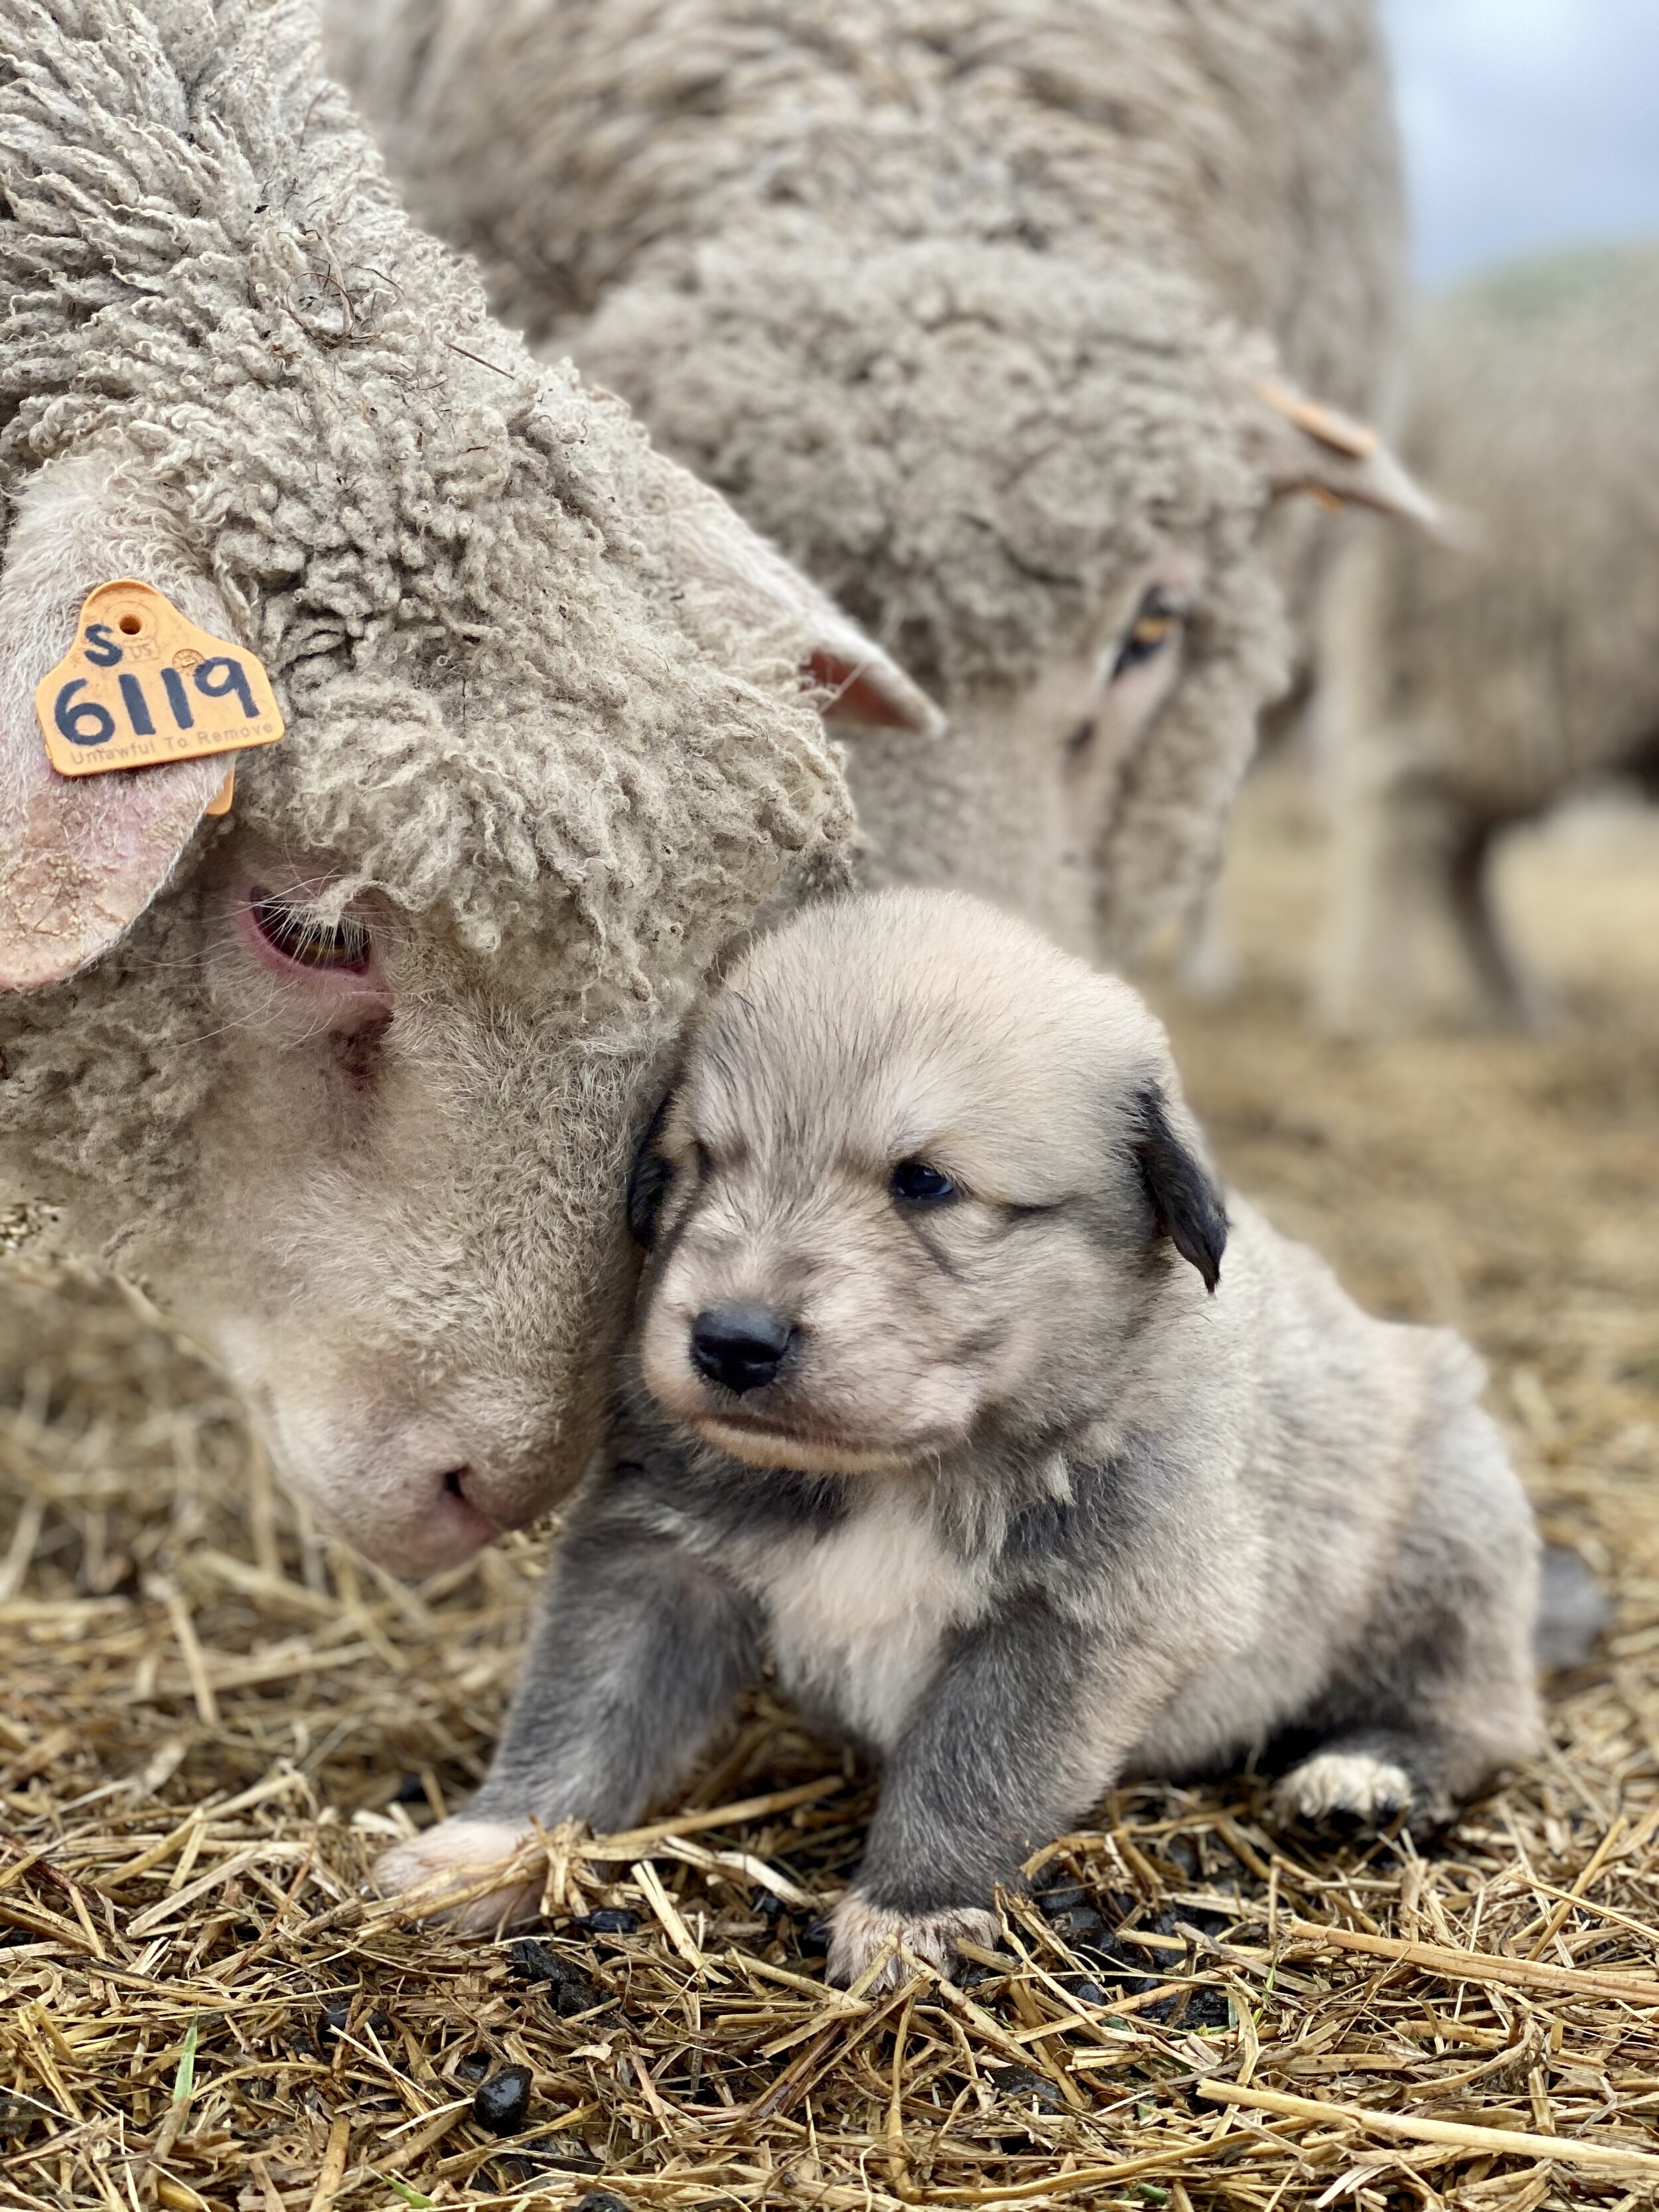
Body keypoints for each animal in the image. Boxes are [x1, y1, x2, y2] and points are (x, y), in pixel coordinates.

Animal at [382, 889, 1557, 1982]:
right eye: (705, 1161)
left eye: (926, 1182)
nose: (731, 1340)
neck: (898, 1474)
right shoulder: (654, 1561)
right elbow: (580, 1712)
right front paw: (487, 1846)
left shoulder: (1077, 1621)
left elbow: (970, 1767)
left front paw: (912, 1910)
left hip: (1445, 1538)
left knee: (1477, 1712)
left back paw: (1363, 1772)